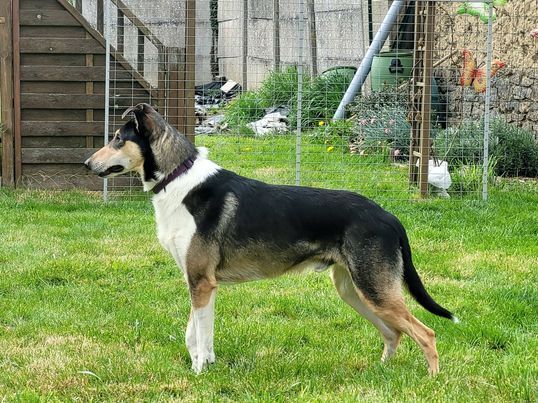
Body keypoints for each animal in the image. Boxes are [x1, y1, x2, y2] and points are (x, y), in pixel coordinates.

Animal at [84, 103, 457, 375]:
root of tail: (389, 217)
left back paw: (431, 380)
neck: (178, 180)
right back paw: (380, 373)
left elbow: (199, 335)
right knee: (394, 332)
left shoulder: (201, 281)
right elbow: (195, 332)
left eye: (117, 138)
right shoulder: (198, 279)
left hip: (375, 289)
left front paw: (199, 373)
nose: (87, 164)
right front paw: (205, 365)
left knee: (426, 333)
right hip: (353, 289)